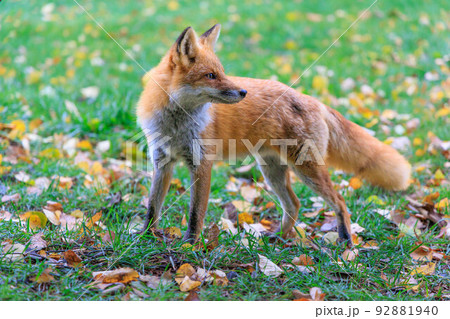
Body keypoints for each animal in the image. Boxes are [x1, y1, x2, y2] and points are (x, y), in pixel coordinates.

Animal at [136, 24, 412, 248]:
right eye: (211, 76)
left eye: (222, 72)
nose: (243, 92)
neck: (175, 125)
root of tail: (314, 101)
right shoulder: (162, 162)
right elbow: (152, 207)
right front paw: (146, 237)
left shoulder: (201, 164)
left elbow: (196, 213)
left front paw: (189, 245)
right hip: (272, 171)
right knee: (294, 204)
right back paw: (279, 236)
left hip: (306, 169)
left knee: (340, 202)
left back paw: (345, 242)